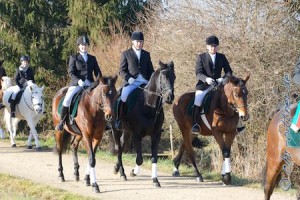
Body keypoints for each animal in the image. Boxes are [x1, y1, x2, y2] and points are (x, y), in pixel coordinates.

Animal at [112, 60, 176, 188]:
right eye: (163, 77)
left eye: (174, 77)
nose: (169, 97)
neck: (149, 105)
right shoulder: (137, 135)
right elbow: (140, 159)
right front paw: (133, 172)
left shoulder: (156, 135)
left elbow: (154, 158)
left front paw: (155, 180)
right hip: (116, 130)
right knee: (118, 148)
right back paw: (122, 173)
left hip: (126, 131)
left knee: (121, 145)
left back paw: (117, 168)